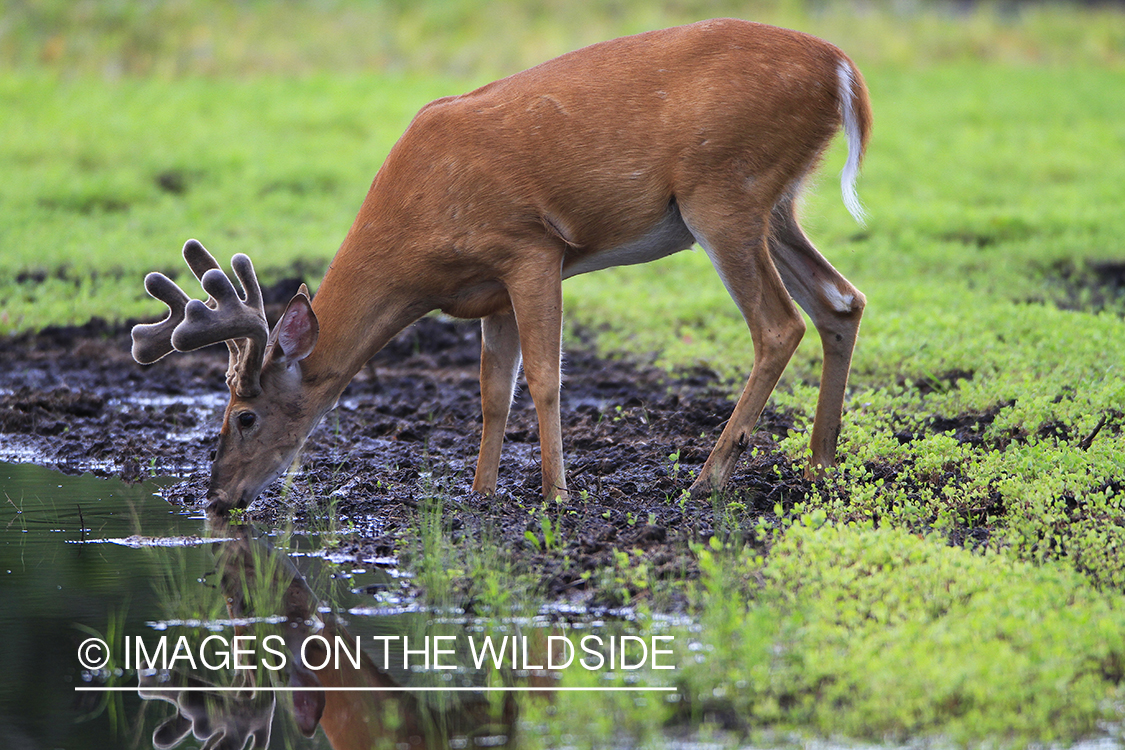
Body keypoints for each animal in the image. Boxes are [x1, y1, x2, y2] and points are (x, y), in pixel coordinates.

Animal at [129, 19, 868, 510]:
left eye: (244, 416)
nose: (217, 496)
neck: (417, 242)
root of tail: (841, 67)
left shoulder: (530, 248)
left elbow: (543, 376)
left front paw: (555, 494)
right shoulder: (488, 291)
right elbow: (491, 391)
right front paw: (480, 492)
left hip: (721, 192)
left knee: (778, 325)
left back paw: (708, 478)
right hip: (776, 204)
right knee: (840, 300)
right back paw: (819, 466)